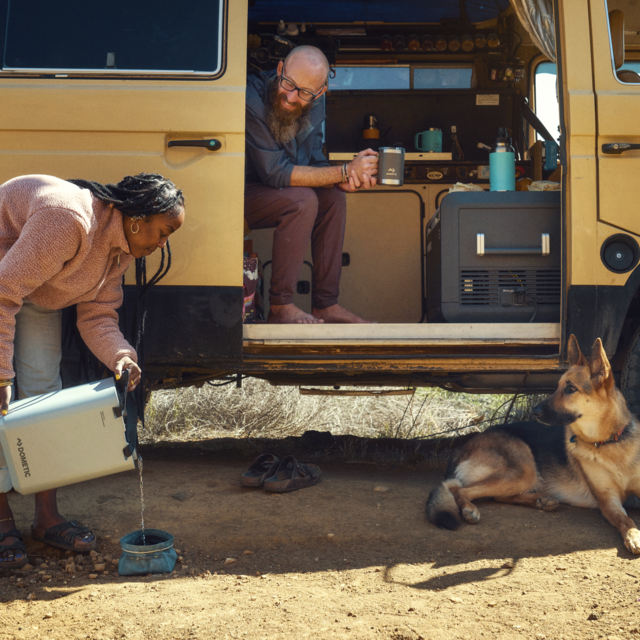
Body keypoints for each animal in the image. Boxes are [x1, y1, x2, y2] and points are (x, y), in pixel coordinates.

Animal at [428, 336, 640, 556]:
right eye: (557, 386)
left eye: (571, 389)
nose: (534, 412)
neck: (611, 443)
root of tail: (463, 448)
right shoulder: (608, 500)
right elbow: (625, 519)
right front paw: (633, 535)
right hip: (523, 470)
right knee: (460, 490)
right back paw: (470, 508)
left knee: (500, 496)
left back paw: (542, 500)